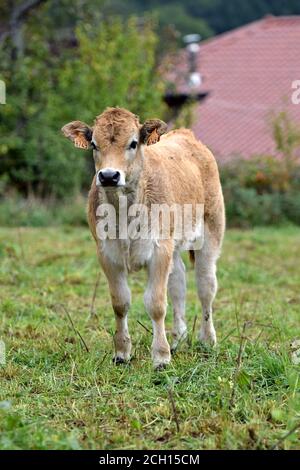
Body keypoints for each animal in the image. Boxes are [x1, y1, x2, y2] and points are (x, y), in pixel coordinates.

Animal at [61, 108, 225, 370]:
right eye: (94, 144)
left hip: (210, 233)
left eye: (133, 143)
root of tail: (185, 135)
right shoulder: (107, 254)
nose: (109, 176)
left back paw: (207, 340)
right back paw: (178, 338)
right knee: (178, 282)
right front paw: (122, 353)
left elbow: (156, 304)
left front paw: (161, 357)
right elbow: (120, 302)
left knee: (205, 286)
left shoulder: (159, 250)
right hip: (173, 245)